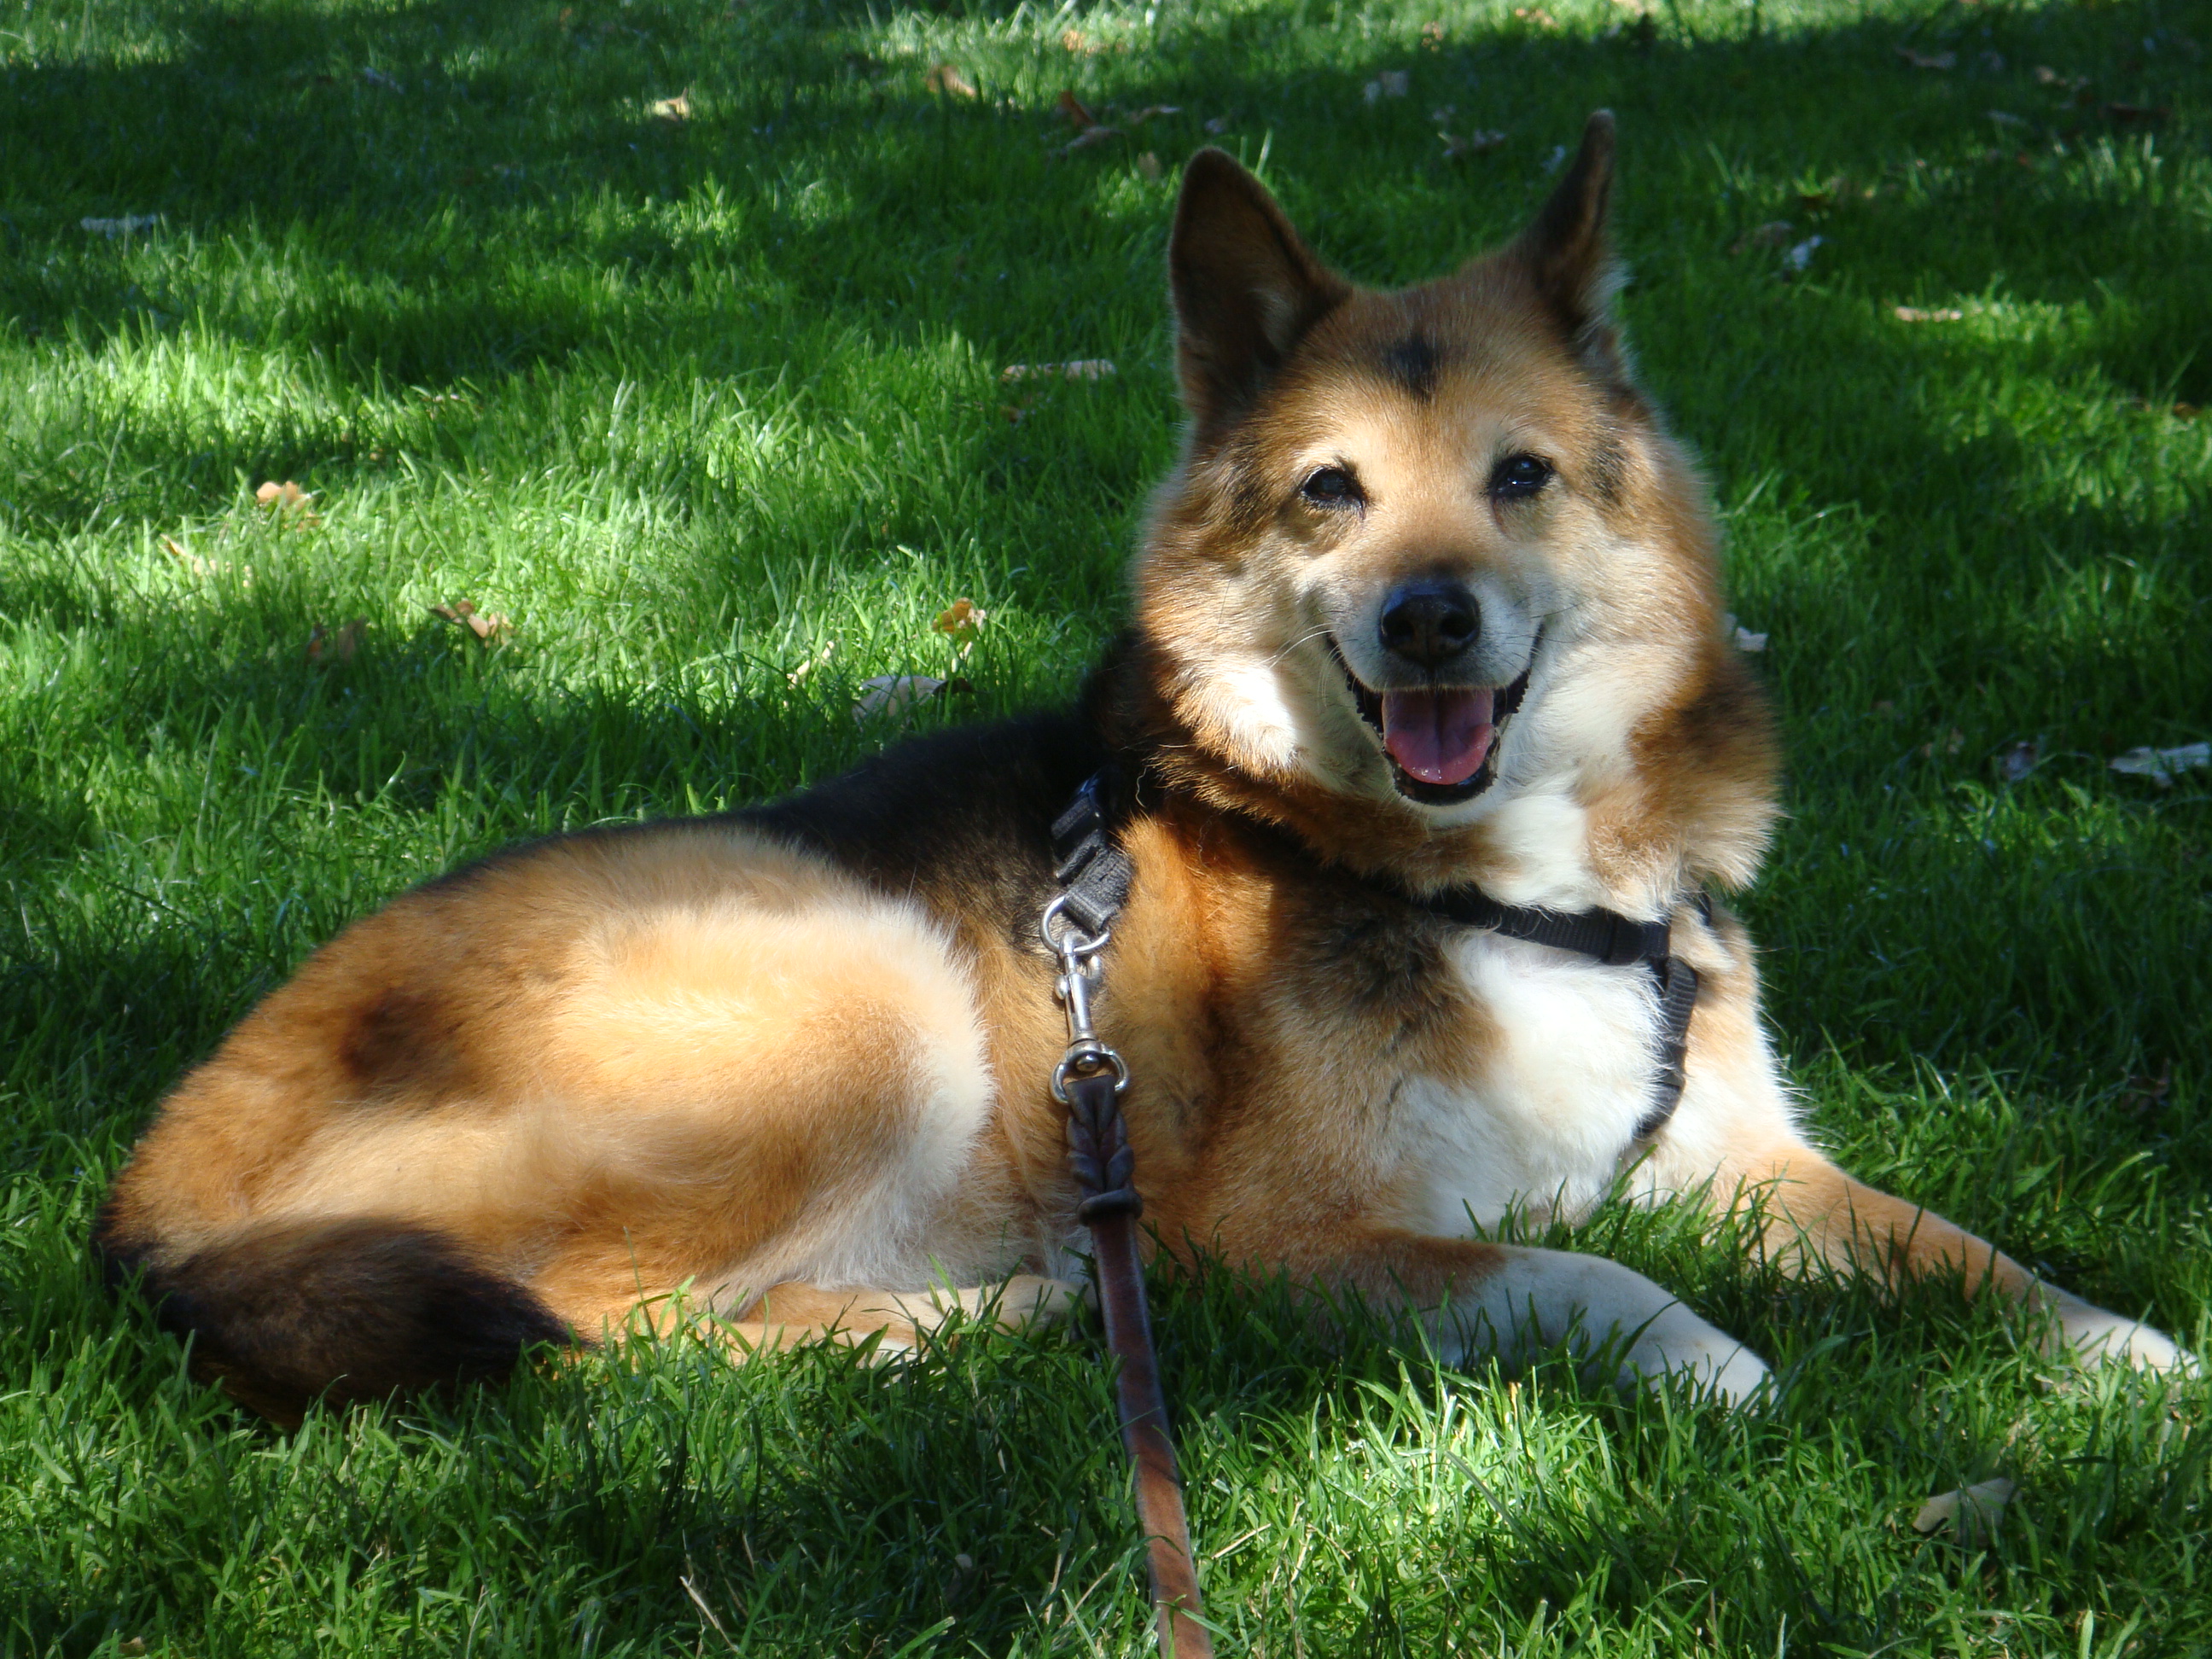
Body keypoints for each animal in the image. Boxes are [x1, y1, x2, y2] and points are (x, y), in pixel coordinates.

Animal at [97, 113, 2185, 1424]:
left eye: (1520, 475)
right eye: (1332, 490)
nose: (1431, 619)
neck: (1493, 880)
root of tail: (156, 1187)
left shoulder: (1748, 1163)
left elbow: (1961, 1245)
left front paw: (2125, 1355)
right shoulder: (1276, 1238)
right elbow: (1578, 1275)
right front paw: (1715, 1363)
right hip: (861, 993)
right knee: (616, 1338)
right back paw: (967, 1326)